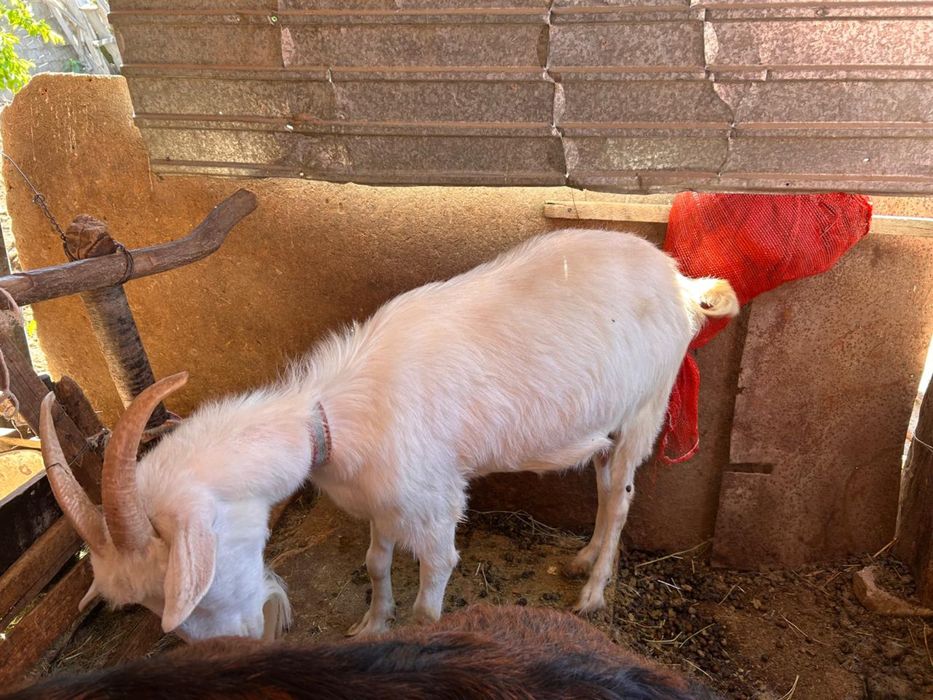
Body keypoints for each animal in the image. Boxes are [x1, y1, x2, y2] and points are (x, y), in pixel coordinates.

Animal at [39, 228, 738, 639]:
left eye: (186, 587)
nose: (239, 646)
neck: (329, 416)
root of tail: (683, 282)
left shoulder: (434, 502)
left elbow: (436, 581)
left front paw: (415, 635)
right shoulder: (380, 499)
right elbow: (375, 563)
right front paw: (371, 626)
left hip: (649, 402)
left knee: (620, 497)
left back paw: (592, 594)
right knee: (604, 487)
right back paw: (586, 559)